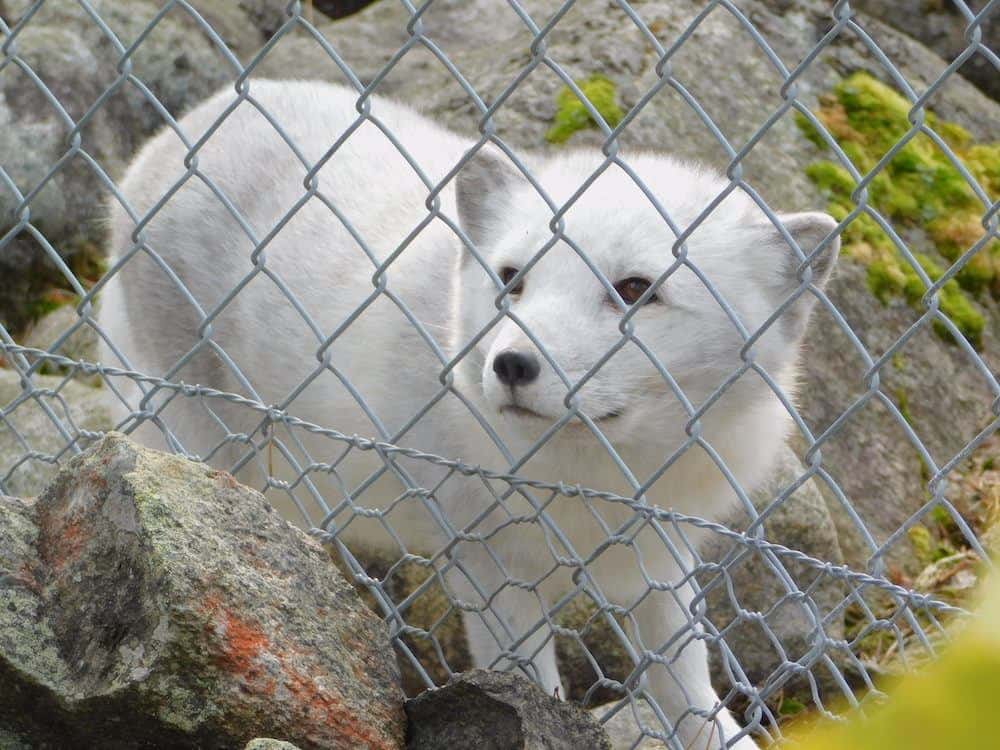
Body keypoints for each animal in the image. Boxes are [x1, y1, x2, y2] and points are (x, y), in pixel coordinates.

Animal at [99, 79, 836, 748]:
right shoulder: (489, 565)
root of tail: (173, 135)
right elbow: (533, 683)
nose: (510, 365)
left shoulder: (657, 556)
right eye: (512, 279)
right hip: (204, 443)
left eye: (634, 290)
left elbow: (686, 686)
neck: (590, 470)